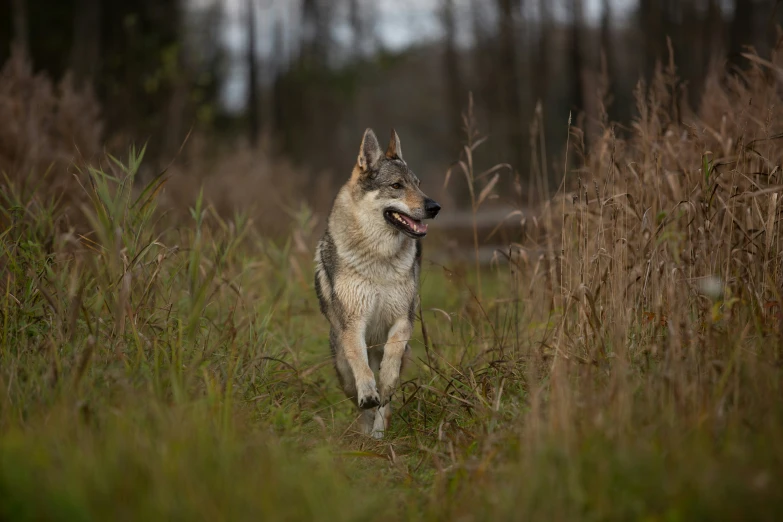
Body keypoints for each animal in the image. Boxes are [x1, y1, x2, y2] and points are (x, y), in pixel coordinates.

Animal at [316, 128, 440, 436]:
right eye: (396, 185)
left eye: (418, 184)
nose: (435, 207)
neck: (379, 259)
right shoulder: (354, 324)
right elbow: (361, 366)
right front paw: (369, 393)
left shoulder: (403, 320)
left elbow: (391, 361)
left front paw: (384, 383)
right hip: (341, 365)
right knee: (358, 396)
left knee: (386, 403)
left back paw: (378, 435)